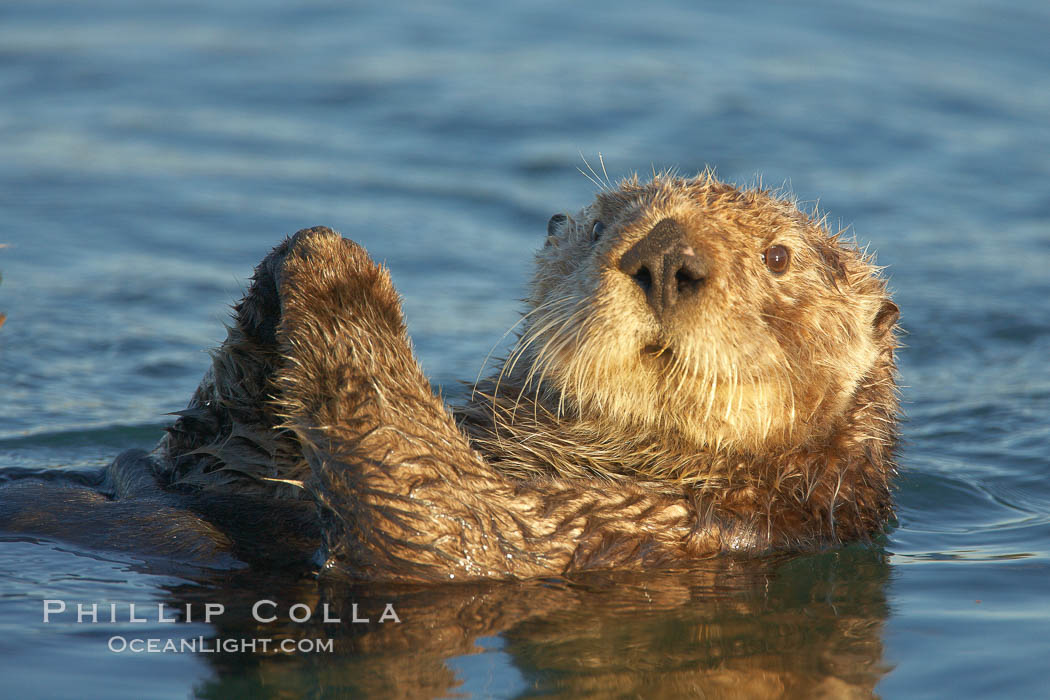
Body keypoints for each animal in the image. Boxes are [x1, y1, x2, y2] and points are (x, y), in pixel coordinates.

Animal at [2, 174, 902, 579]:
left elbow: (435, 516)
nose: (666, 257)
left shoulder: (626, 529)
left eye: (778, 257)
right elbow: (210, 448)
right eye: (603, 226)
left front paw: (340, 270)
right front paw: (288, 263)